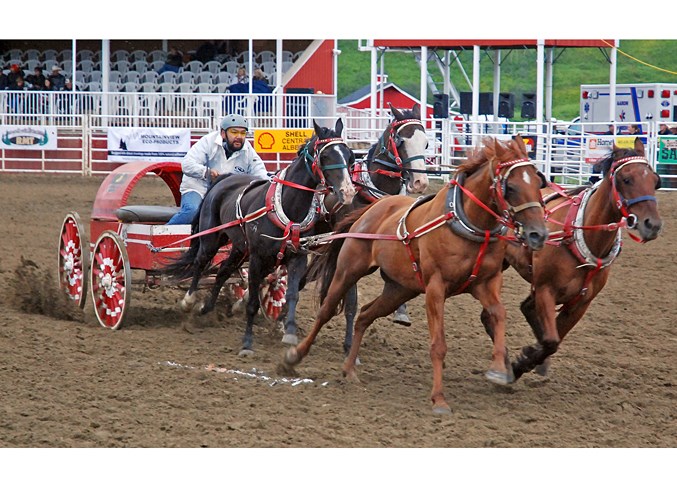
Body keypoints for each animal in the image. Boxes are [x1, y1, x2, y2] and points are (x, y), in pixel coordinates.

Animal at [162, 118, 356, 354]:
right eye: (325, 155)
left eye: (349, 155)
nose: (348, 192)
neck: (288, 207)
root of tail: (224, 179)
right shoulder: (257, 258)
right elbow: (253, 302)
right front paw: (247, 343)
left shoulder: (297, 257)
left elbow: (292, 294)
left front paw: (290, 333)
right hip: (213, 239)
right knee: (200, 262)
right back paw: (189, 301)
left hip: (239, 247)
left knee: (223, 271)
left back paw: (205, 307)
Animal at [282, 135, 548, 414]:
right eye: (512, 187)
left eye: (537, 181)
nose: (538, 234)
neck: (469, 223)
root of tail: (372, 209)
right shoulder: (436, 288)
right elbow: (438, 345)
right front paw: (439, 399)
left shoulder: (486, 283)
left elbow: (499, 314)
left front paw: (498, 371)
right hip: (348, 271)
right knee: (326, 311)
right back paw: (293, 356)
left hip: (399, 289)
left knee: (365, 315)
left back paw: (349, 369)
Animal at [504, 139, 664, 380]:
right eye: (626, 179)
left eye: (655, 181)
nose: (652, 225)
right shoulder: (545, 290)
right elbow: (550, 340)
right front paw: (521, 362)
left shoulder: (580, 303)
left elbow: (553, 341)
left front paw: (530, 358)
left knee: (528, 308)